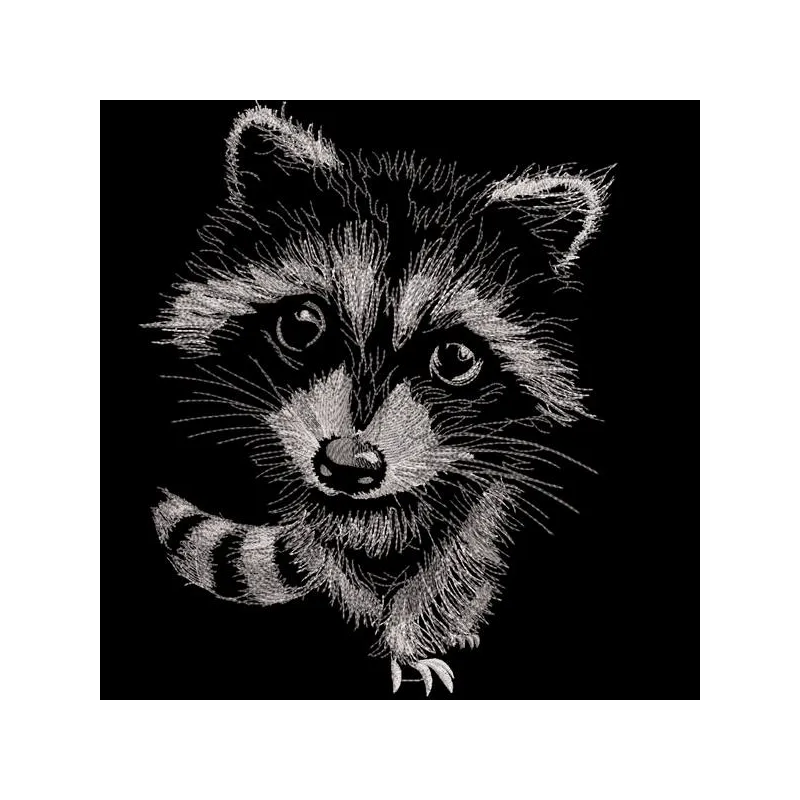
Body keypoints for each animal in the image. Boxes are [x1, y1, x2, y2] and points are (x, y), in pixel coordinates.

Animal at [147, 104, 611, 695]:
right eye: (302, 326)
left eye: (455, 358)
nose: (348, 465)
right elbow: (331, 553)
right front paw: (389, 633)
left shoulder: (483, 481)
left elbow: (454, 557)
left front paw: (414, 634)